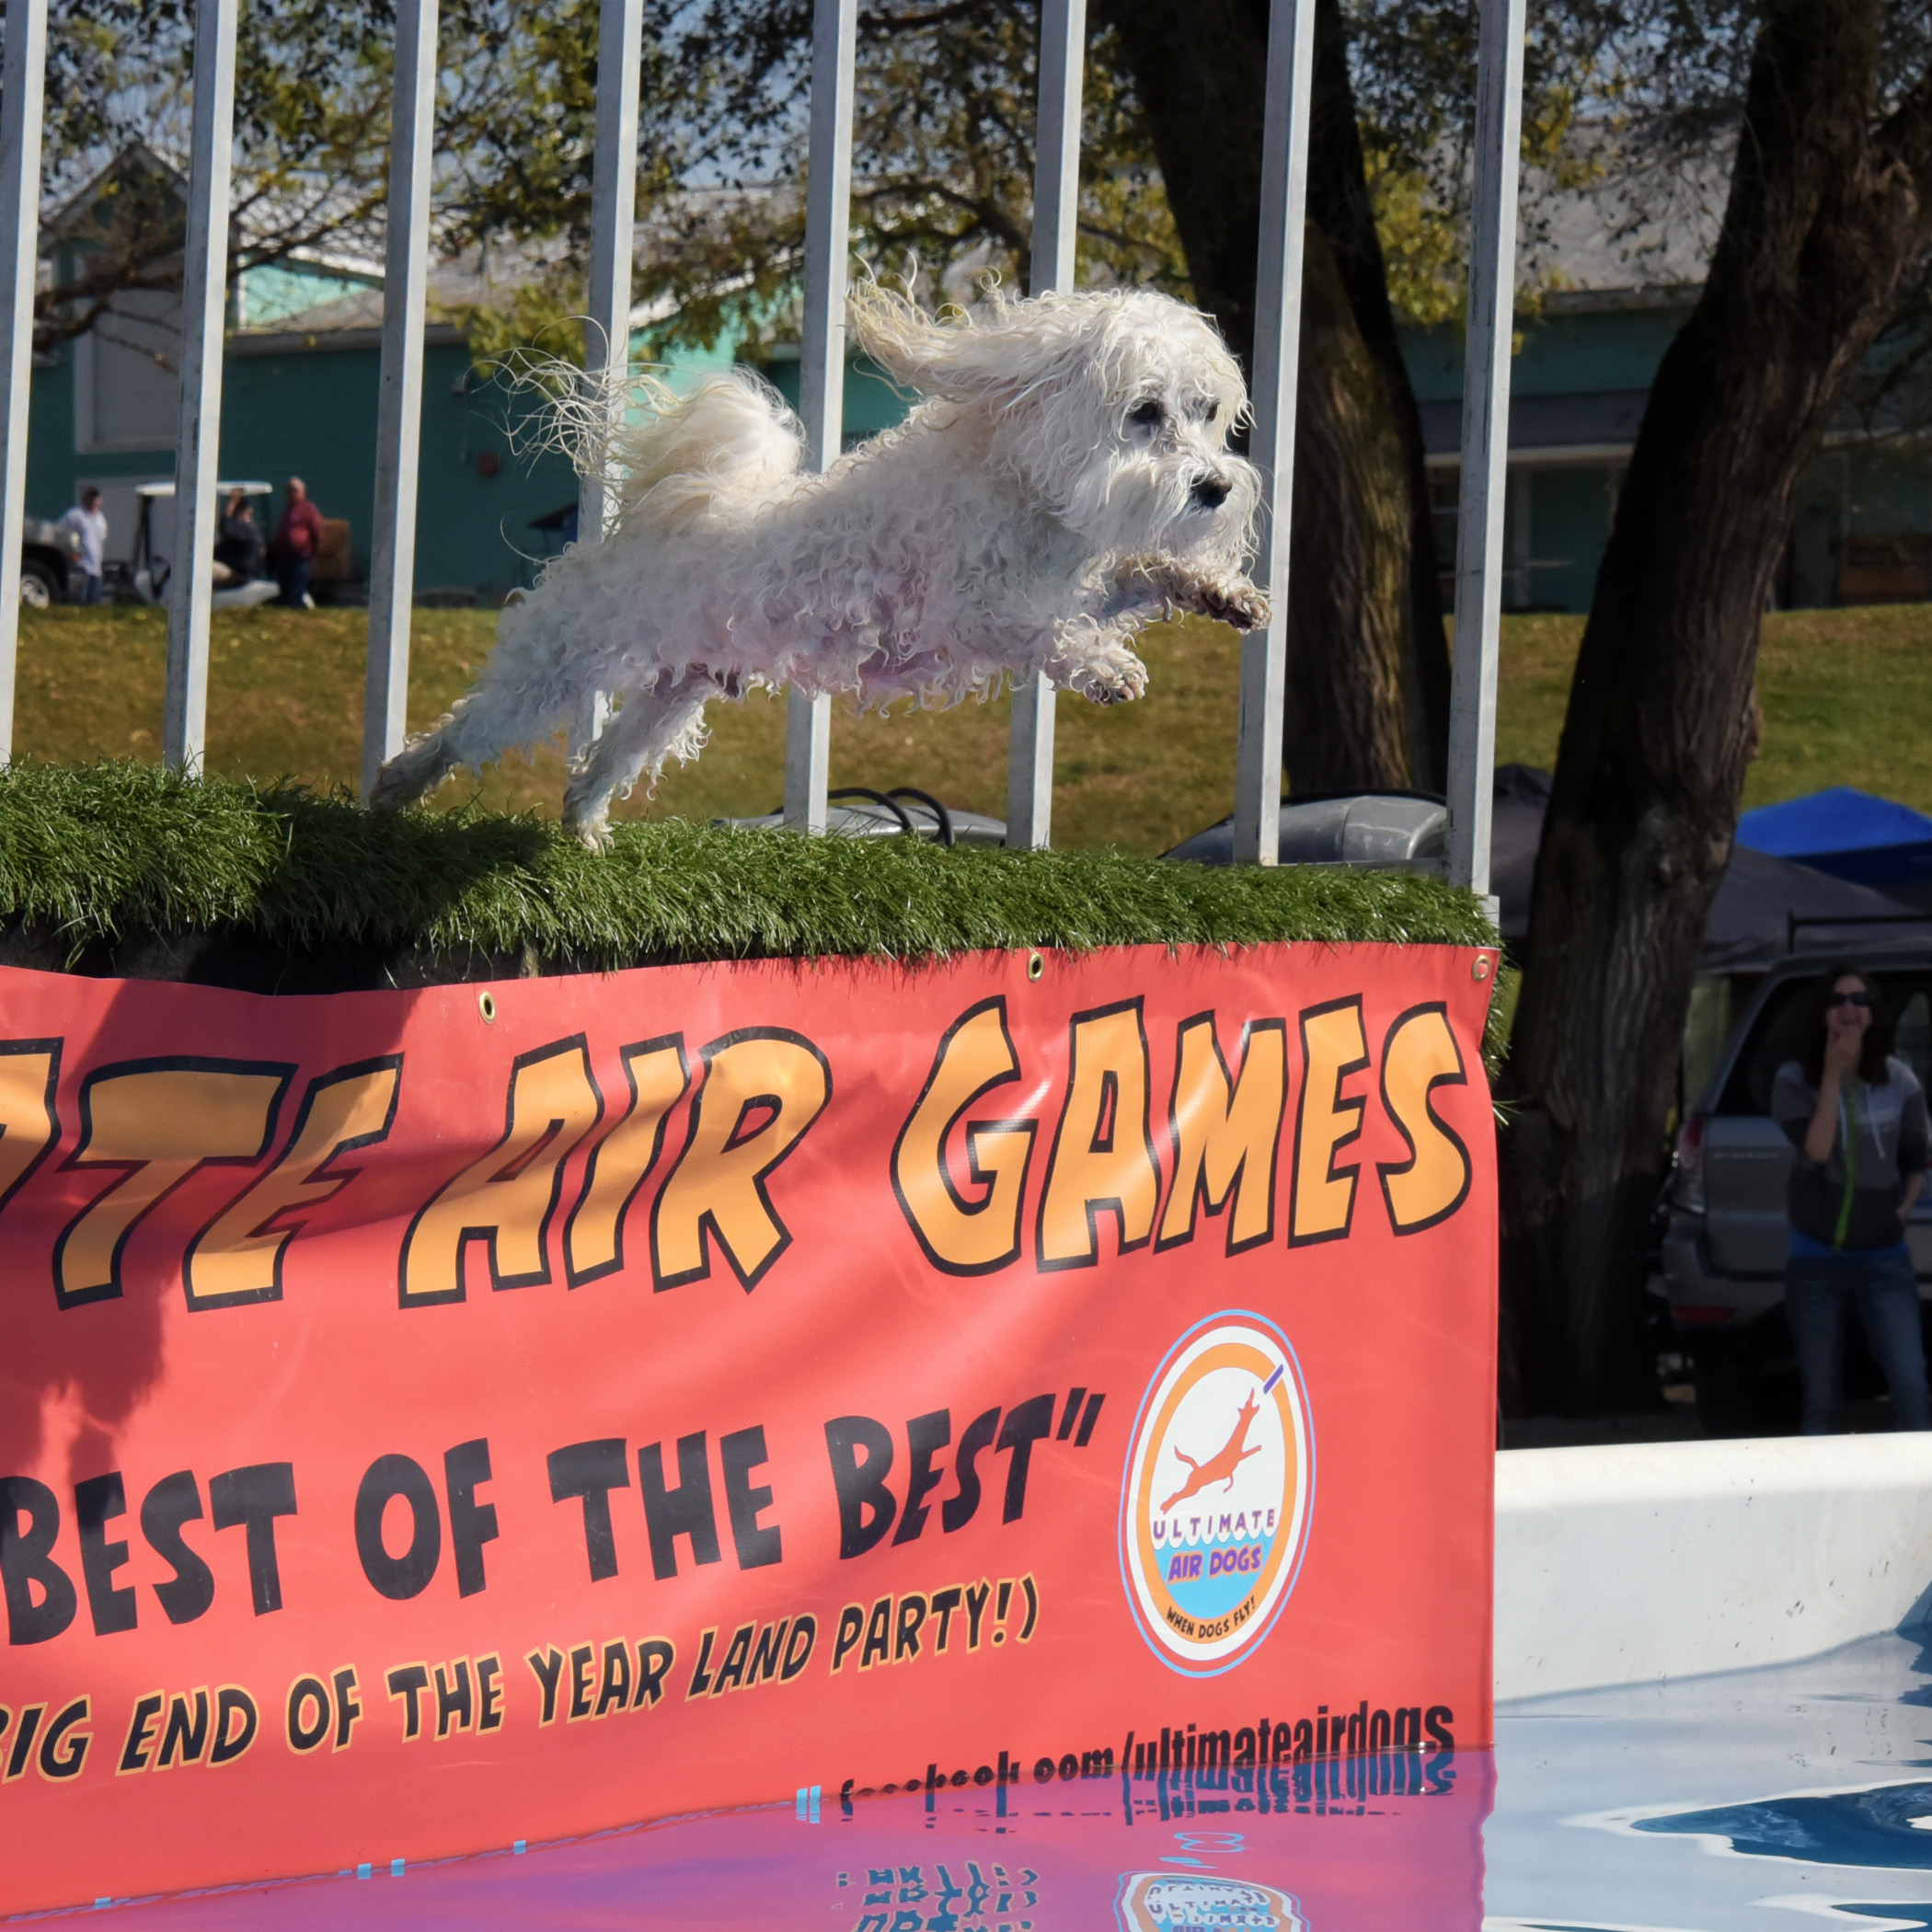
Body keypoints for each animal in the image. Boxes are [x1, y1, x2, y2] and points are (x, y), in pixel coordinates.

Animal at [364, 282, 1267, 845]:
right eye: (1144, 412)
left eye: (1206, 412)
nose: (1217, 488)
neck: (1021, 487)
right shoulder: (972, 609)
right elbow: (1046, 630)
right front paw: (1106, 669)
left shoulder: (1074, 579)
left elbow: (1135, 579)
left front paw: (1221, 594)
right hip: (553, 667)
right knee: (469, 729)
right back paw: (396, 786)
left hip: (671, 695)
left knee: (604, 758)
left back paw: (583, 825)